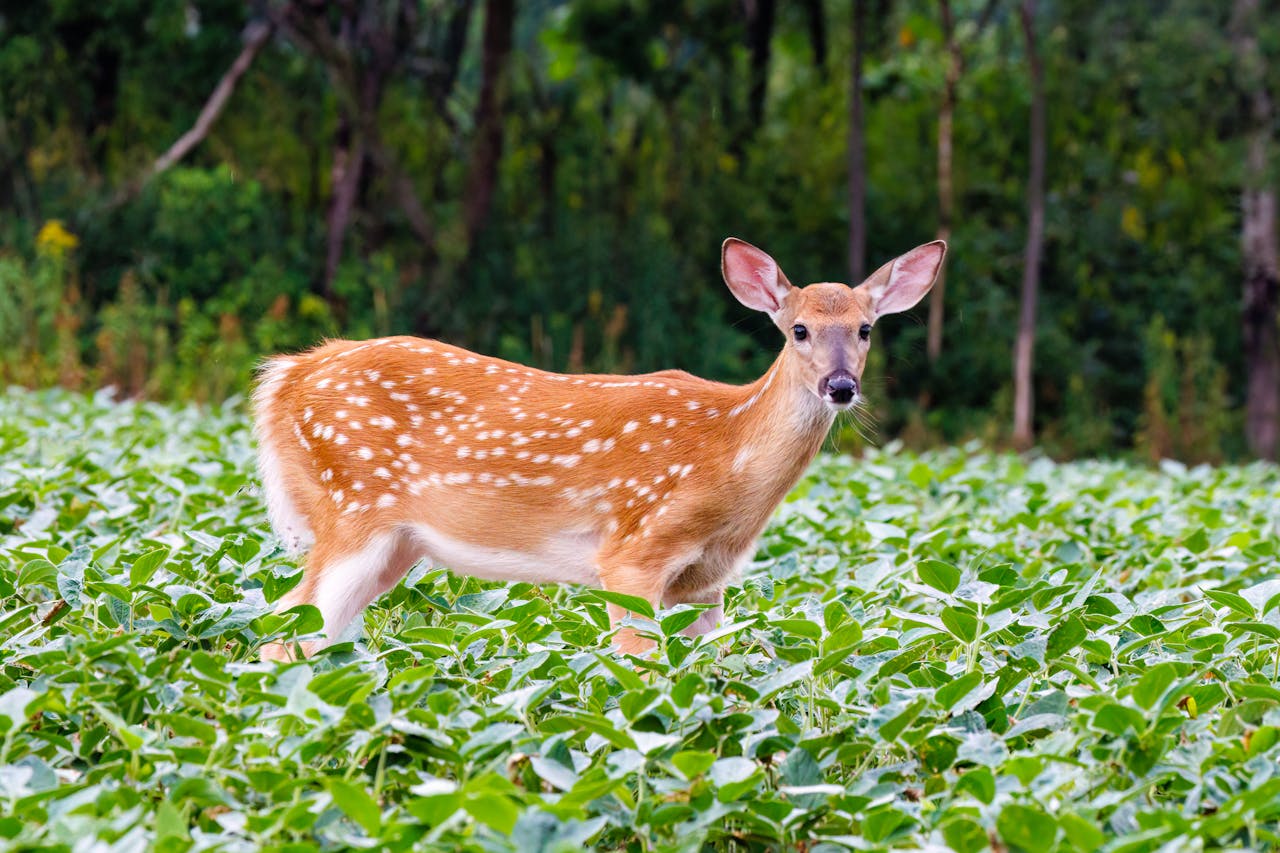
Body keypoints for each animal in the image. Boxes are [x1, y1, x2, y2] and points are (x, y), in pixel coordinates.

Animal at [253, 238, 946, 661]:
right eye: (798, 329)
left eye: (865, 328)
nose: (841, 386)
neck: (727, 456)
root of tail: (285, 378)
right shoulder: (634, 551)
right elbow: (641, 672)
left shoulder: (705, 583)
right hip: (351, 505)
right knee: (281, 626)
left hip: (395, 544)